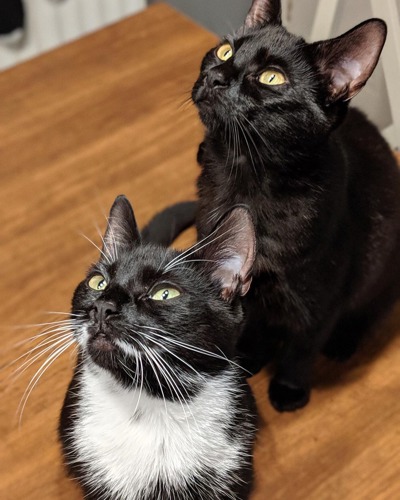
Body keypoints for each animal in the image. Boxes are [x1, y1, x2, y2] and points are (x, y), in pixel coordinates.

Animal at [177, 0, 398, 414]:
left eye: (271, 78)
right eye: (225, 51)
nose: (217, 76)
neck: (244, 179)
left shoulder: (319, 299)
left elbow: (302, 347)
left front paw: (289, 389)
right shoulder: (241, 281)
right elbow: (254, 327)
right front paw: (250, 357)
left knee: (370, 310)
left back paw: (343, 343)